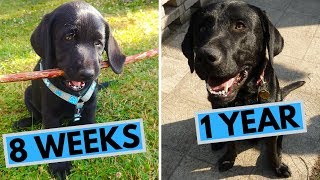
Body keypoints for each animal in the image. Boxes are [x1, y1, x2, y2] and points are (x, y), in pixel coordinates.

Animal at [14, 1, 126, 179]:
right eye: (68, 37)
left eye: (98, 43)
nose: (88, 74)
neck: (76, 95)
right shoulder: (50, 115)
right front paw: (59, 166)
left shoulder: (90, 108)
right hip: (28, 93)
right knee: (36, 116)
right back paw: (25, 121)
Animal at [182, 0, 304, 178]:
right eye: (202, 28)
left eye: (240, 26)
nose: (205, 57)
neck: (244, 96)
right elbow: (231, 143)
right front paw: (228, 159)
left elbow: (272, 150)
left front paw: (277, 166)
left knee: (278, 142)